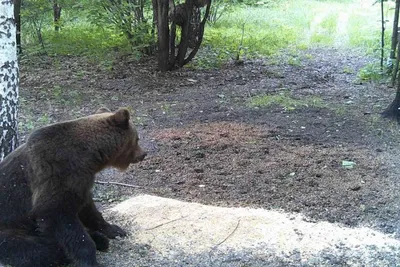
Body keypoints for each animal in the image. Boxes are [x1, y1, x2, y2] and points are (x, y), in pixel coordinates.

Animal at [0, 108, 147, 266]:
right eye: (137, 139)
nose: (144, 154)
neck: (89, 157)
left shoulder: (81, 181)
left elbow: (88, 208)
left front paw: (115, 229)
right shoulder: (57, 171)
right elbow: (56, 213)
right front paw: (90, 259)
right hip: (11, 228)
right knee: (35, 249)